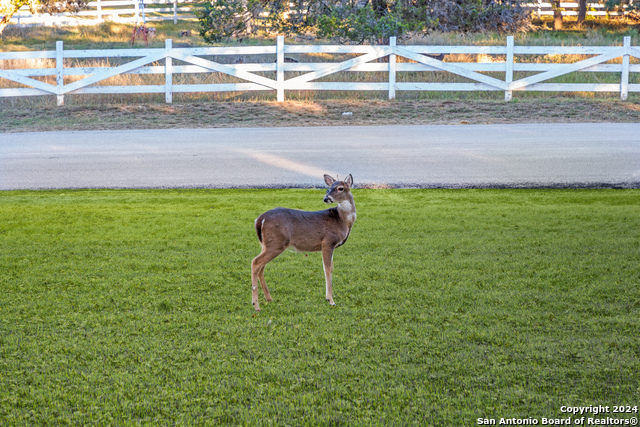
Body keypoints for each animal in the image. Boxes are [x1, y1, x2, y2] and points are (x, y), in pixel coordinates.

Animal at [250, 174, 358, 310]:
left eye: (340, 188)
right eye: (328, 188)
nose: (326, 198)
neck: (342, 221)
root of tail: (259, 219)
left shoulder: (330, 245)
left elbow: (331, 268)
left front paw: (330, 297)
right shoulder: (327, 241)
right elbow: (327, 269)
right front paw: (331, 300)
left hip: (266, 244)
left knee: (261, 266)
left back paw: (269, 298)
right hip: (276, 242)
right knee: (255, 262)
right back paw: (256, 305)